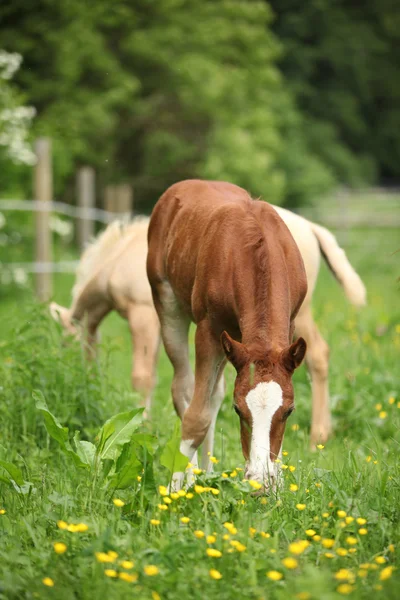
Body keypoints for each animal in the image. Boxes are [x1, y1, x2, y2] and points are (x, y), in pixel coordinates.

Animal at [148, 180, 308, 490]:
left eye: (289, 411)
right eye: (238, 410)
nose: (259, 480)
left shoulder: (286, 328)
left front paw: (277, 485)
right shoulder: (208, 330)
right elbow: (196, 416)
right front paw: (173, 490)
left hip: (232, 343)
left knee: (213, 396)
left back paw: (206, 473)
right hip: (168, 306)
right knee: (185, 391)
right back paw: (190, 478)